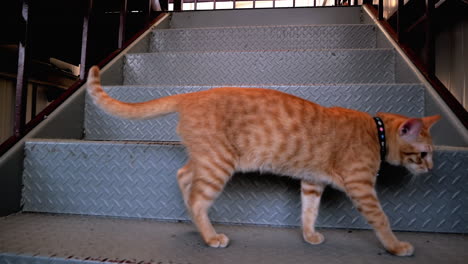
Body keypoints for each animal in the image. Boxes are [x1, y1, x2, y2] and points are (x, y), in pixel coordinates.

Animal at [87, 65, 438, 256]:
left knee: (184, 177)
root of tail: (194, 94)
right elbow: (381, 219)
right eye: (423, 153)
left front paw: (309, 235)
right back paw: (210, 236)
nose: (431, 168)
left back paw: (194, 223)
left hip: (206, 158)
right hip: (219, 163)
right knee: (199, 198)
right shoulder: (361, 186)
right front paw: (396, 247)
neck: (374, 131)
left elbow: (308, 212)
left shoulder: (312, 182)